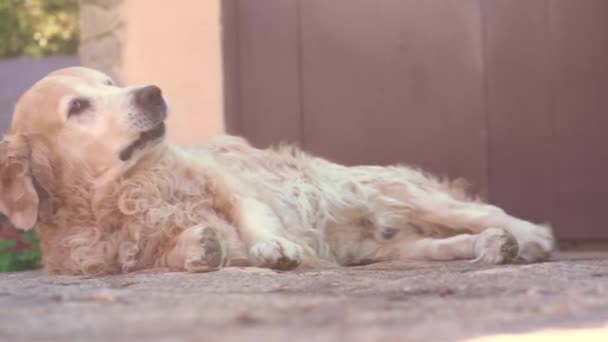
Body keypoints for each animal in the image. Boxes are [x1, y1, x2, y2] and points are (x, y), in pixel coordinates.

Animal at [0, 67, 556, 276]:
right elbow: (165, 255)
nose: (151, 93)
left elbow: (253, 219)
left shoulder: (229, 185)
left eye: (110, 82)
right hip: (389, 246)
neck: (123, 192)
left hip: (396, 192)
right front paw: (198, 246)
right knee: (445, 244)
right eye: (77, 107)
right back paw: (491, 248)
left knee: (486, 211)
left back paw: (529, 237)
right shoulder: (109, 260)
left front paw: (275, 248)